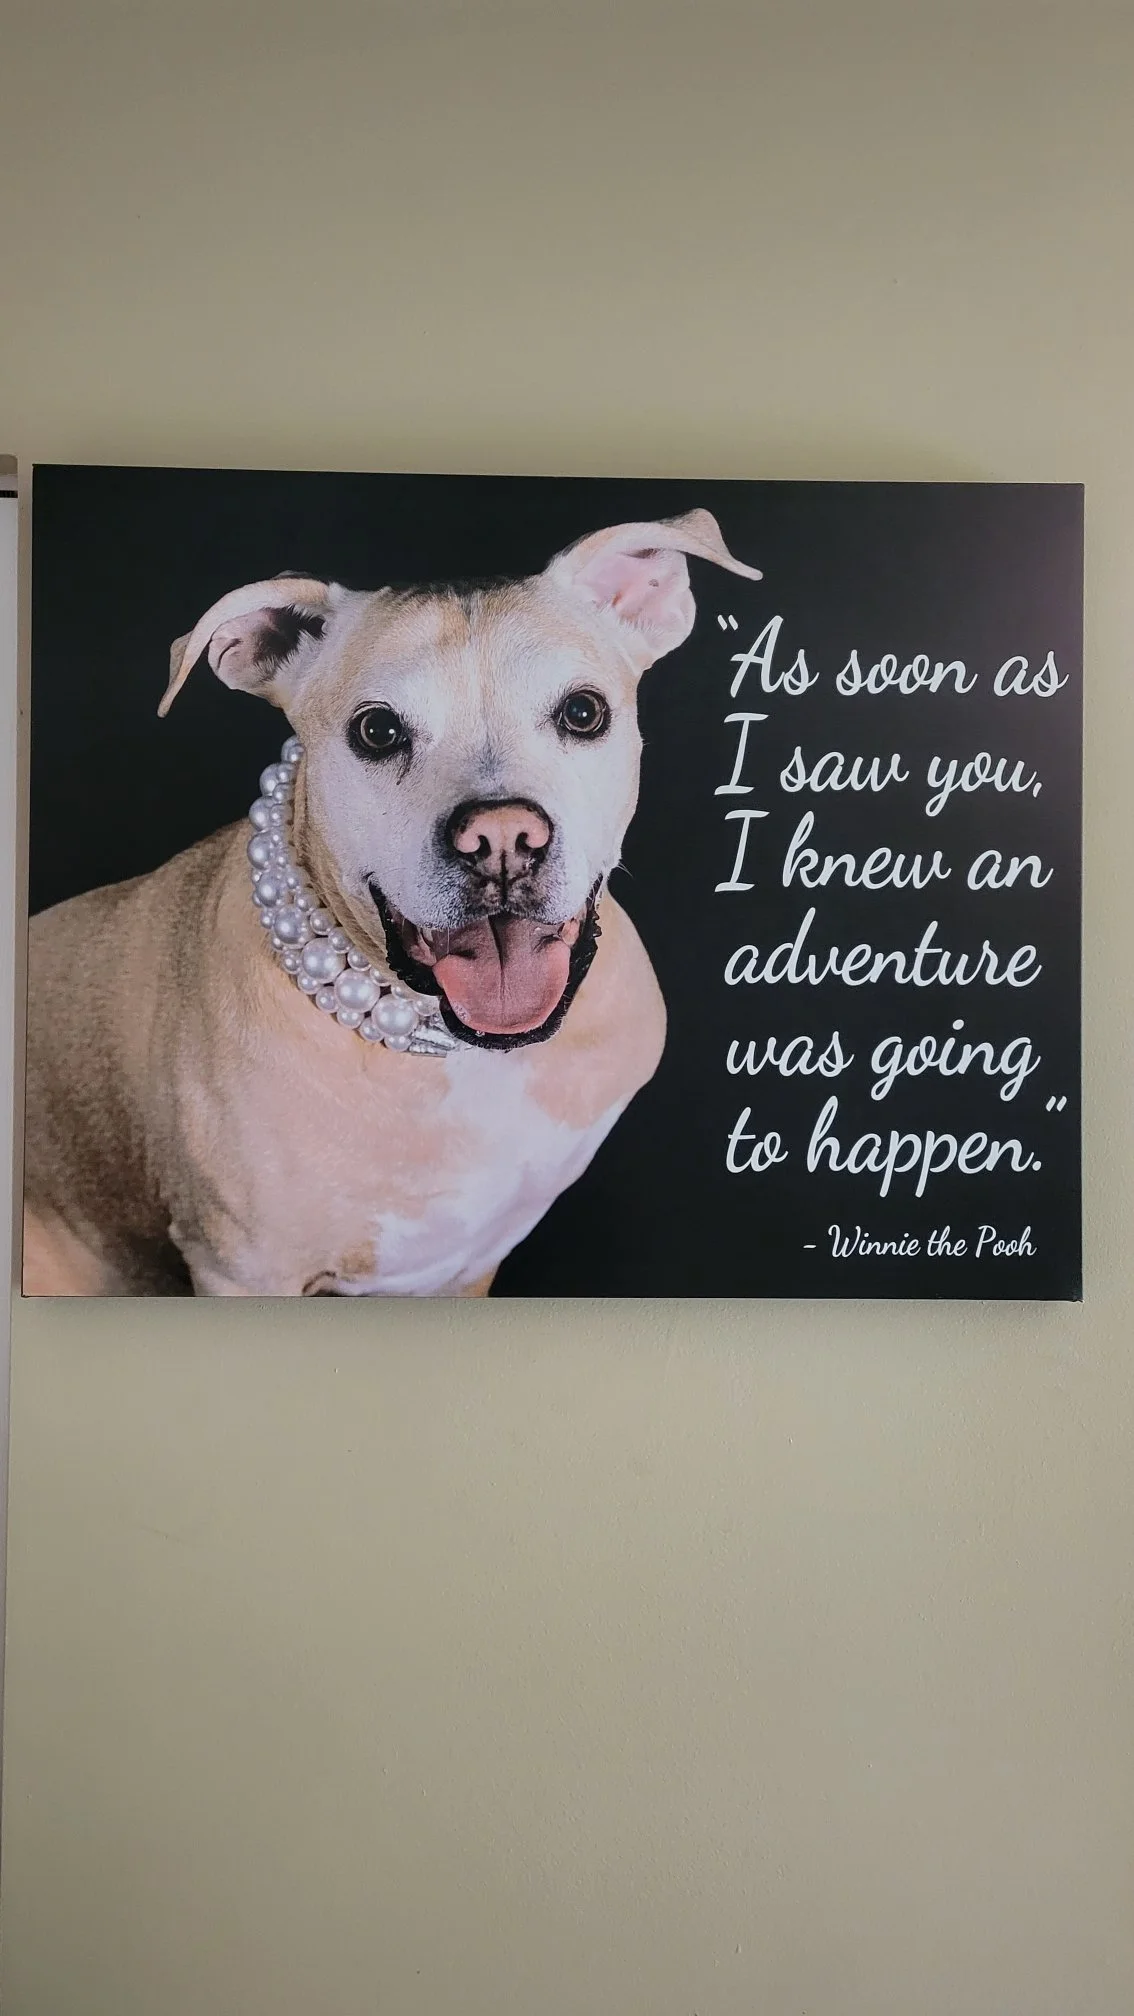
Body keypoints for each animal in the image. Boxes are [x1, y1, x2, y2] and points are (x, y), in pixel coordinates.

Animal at [23, 509, 761, 1296]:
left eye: (583, 712)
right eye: (377, 731)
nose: (502, 840)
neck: (466, 1059)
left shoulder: (471, 1265)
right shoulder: (242, 1272)